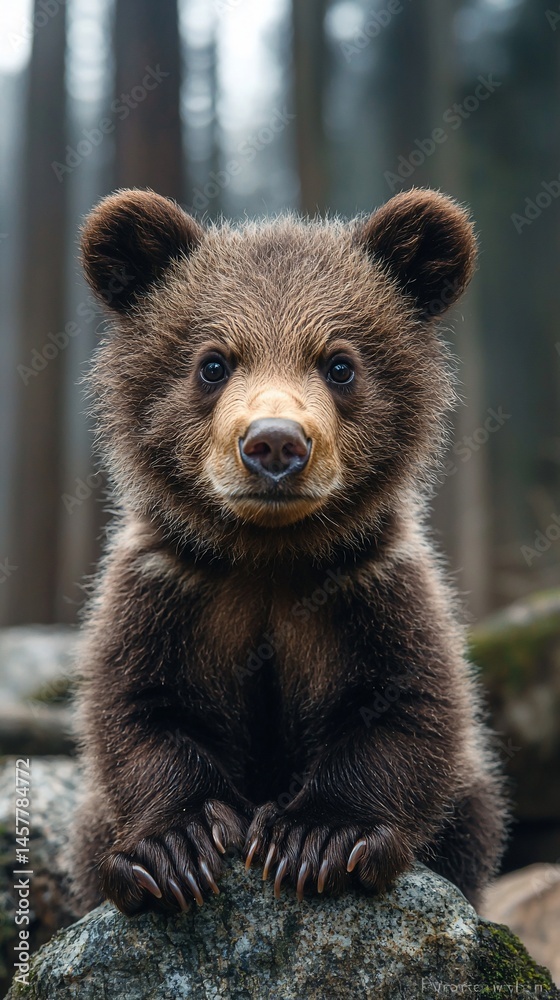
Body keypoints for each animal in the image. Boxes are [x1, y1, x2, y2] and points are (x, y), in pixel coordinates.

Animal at [69, 186, 507, 917]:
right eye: (213, 363)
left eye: (340, 364)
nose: (274, 443)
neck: (268, 553)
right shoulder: (169, 586)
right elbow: (137, 708)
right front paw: (174, 848)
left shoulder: (368, 585)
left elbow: (410, 706)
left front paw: (317, 839)